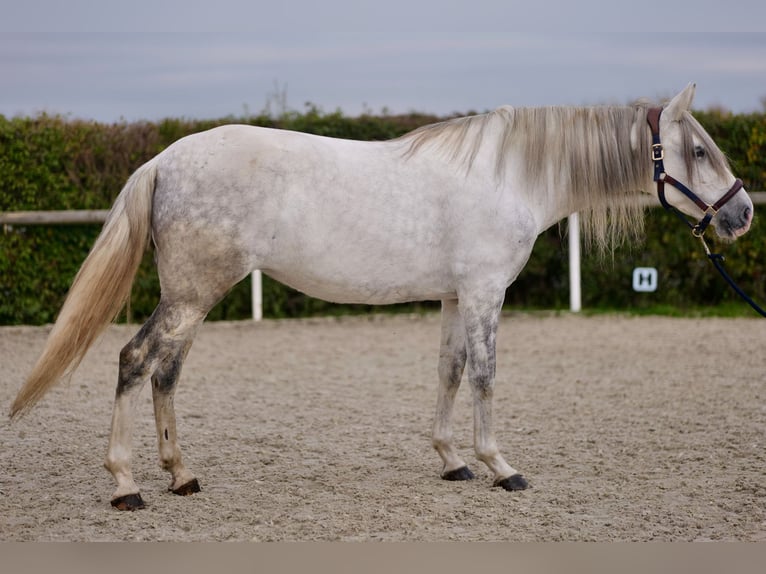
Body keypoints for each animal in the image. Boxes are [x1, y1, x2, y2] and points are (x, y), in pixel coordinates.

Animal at [10, 83, 756, 510]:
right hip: (191, 296)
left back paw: (182, 476)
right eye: (696, 151)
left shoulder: (455, 297)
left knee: (165, 374)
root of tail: (164, 160)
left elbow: (449, 372)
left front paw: (453, 462)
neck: (509, 174)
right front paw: (501, 468)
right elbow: (485, 377)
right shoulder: (484, 293)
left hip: (193, 299)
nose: (742, 213)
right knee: (135, 363)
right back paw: (127, 485)